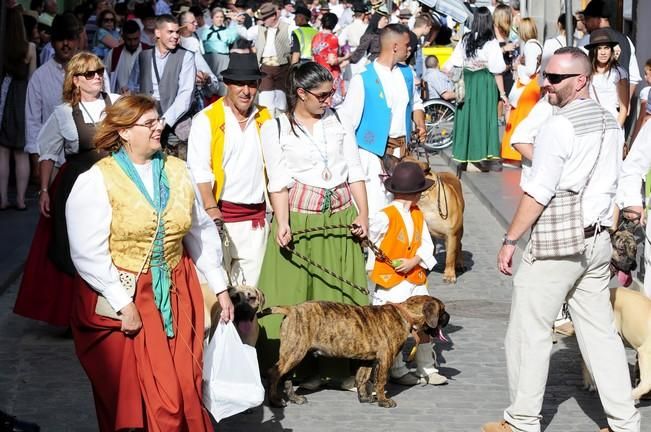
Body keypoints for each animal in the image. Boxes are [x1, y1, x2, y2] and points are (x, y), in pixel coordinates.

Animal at [264, 296, 448, 408]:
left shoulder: (366, 360)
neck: (405, 313)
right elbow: (381, 381)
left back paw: (294, 398)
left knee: (287, 377)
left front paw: (364, 398)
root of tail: (291, 309)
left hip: (295, 354)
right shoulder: (386, 357)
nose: (449, 317)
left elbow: (362, 378)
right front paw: (383, 401)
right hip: (294, 353)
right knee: (274, 374)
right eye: (442, 311)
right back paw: (275, 401)